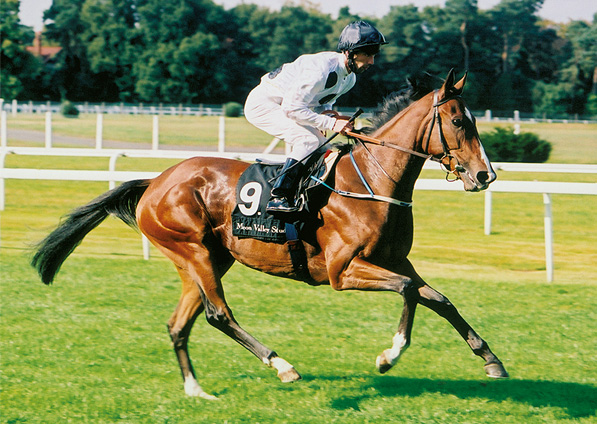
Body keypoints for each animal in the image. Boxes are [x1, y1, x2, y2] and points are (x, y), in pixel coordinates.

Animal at [31, 70, 508, 400]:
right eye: (458, 121)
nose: (486, 175)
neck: (371, 181)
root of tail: (155, 182)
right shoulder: (343, 271)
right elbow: (409, 291)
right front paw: (389, 356)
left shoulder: (392, 260)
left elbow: (439, 299)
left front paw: (491, 360)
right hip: (192, 250)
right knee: (218, 314)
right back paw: (282, 365)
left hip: (208, 257)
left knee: (179, 324)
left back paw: (196, 390)